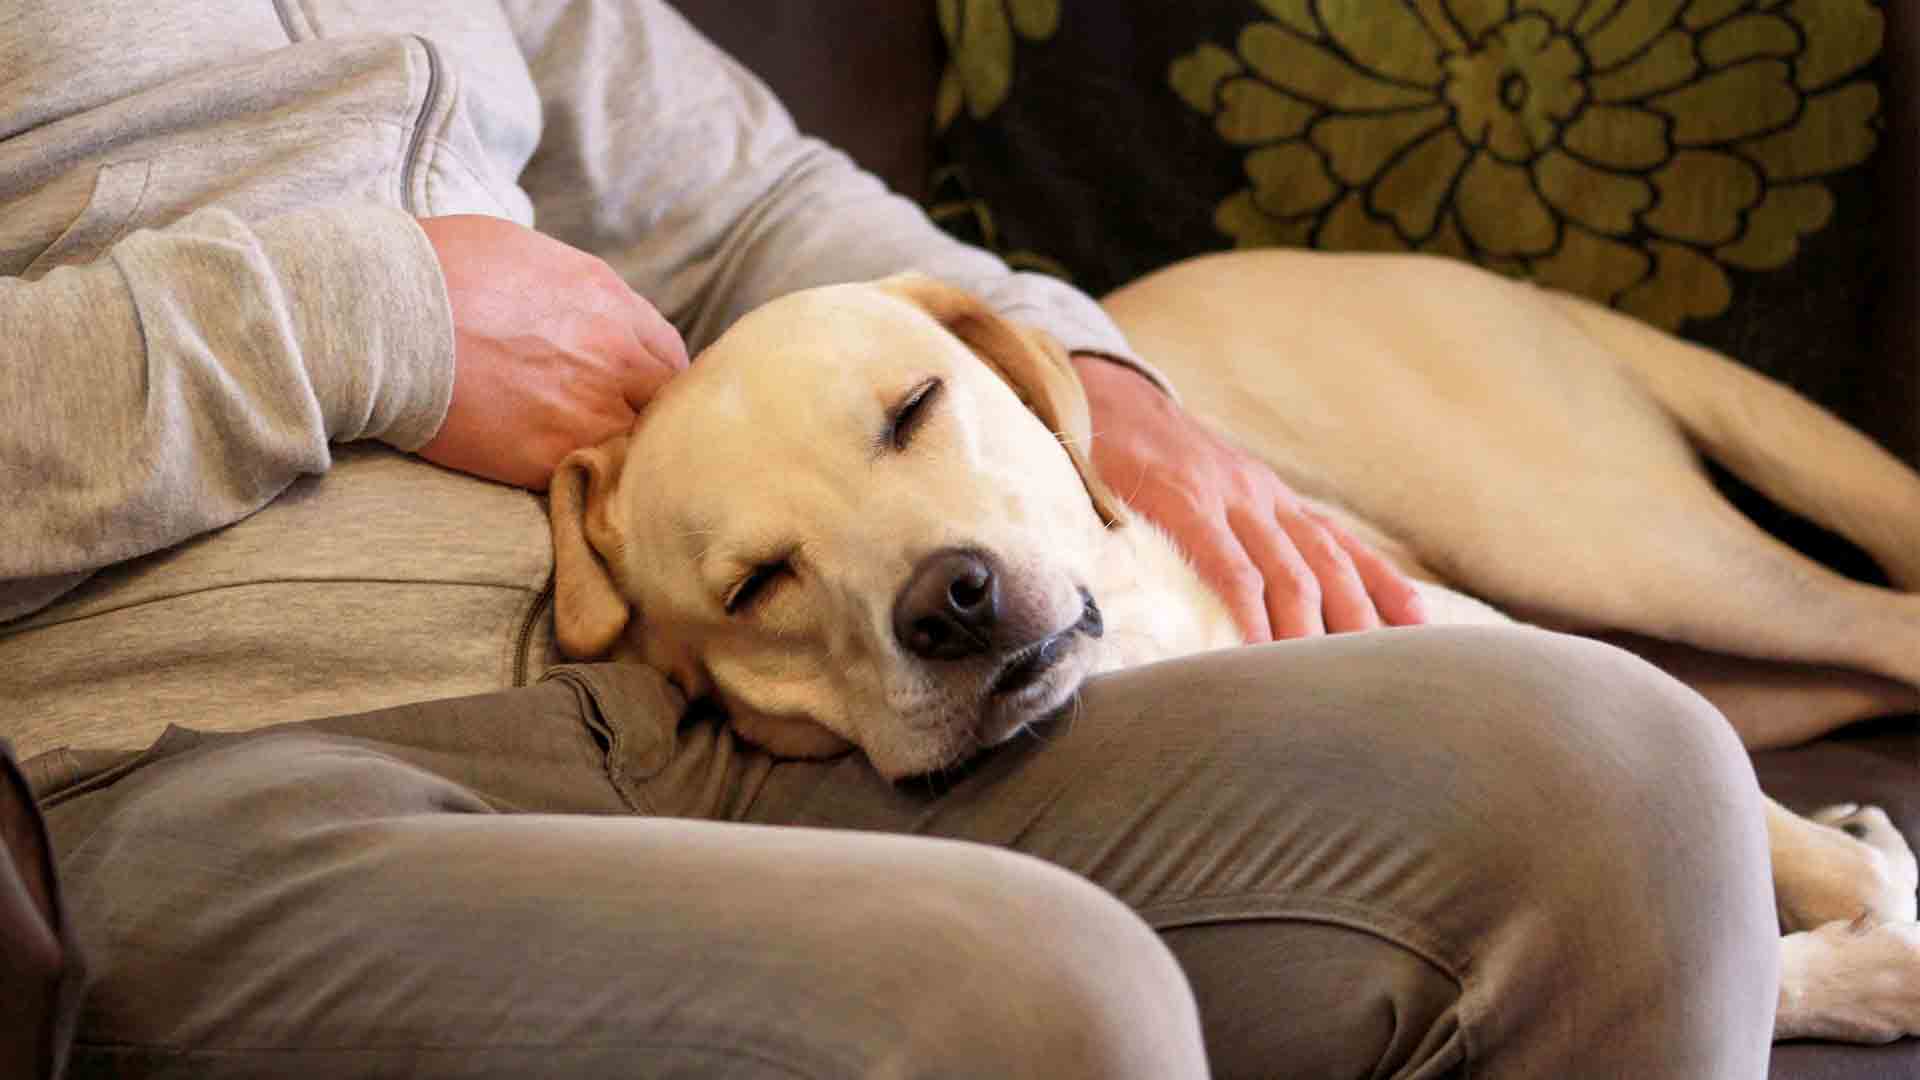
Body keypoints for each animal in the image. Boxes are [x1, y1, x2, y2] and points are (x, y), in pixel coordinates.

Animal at [549, 255, 1920, 1037]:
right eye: (756, 583)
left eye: (913, 408)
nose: (951, 601)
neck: (1133, 643)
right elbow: (1774, 927)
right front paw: (1868, 959)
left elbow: (1803, 862)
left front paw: (1874, 910)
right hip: (1711, 648)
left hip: (1607, 552)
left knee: (1875, 626)